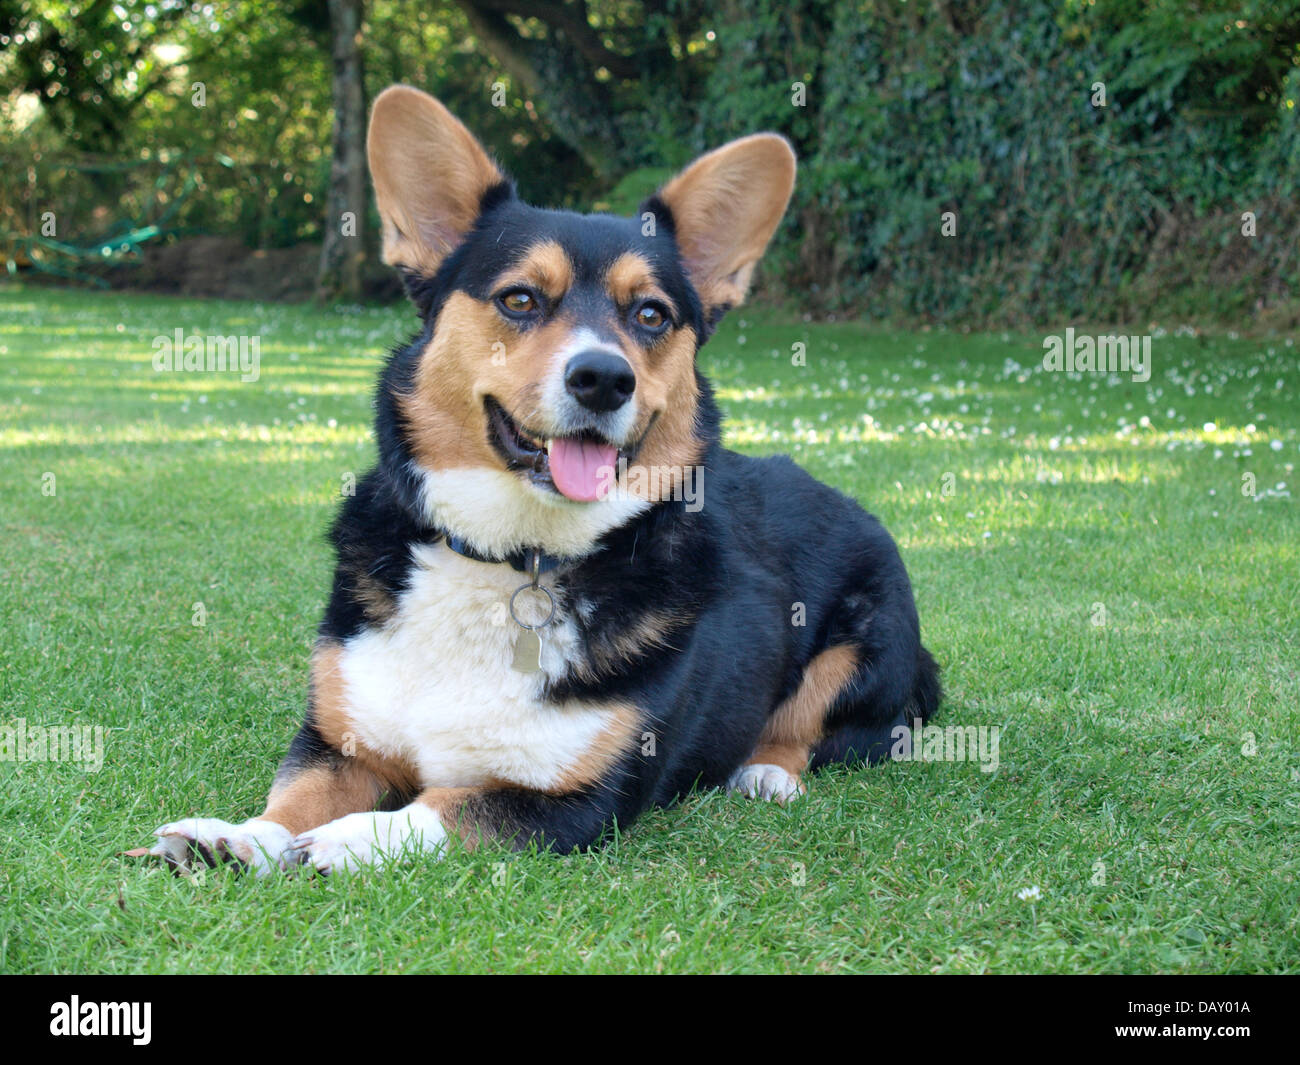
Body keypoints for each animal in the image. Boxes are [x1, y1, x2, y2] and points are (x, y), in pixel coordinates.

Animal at [152, 87, 941, 873]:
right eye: (521, 299)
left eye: (650, 314)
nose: (604, 379)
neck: (513, 558)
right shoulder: (339, 746)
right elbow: (294, 796)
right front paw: (241, 836)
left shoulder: (575, 801)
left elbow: (435, 809)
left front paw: (341, 842)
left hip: (863, 651)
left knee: (820, 730)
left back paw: (766, 771)